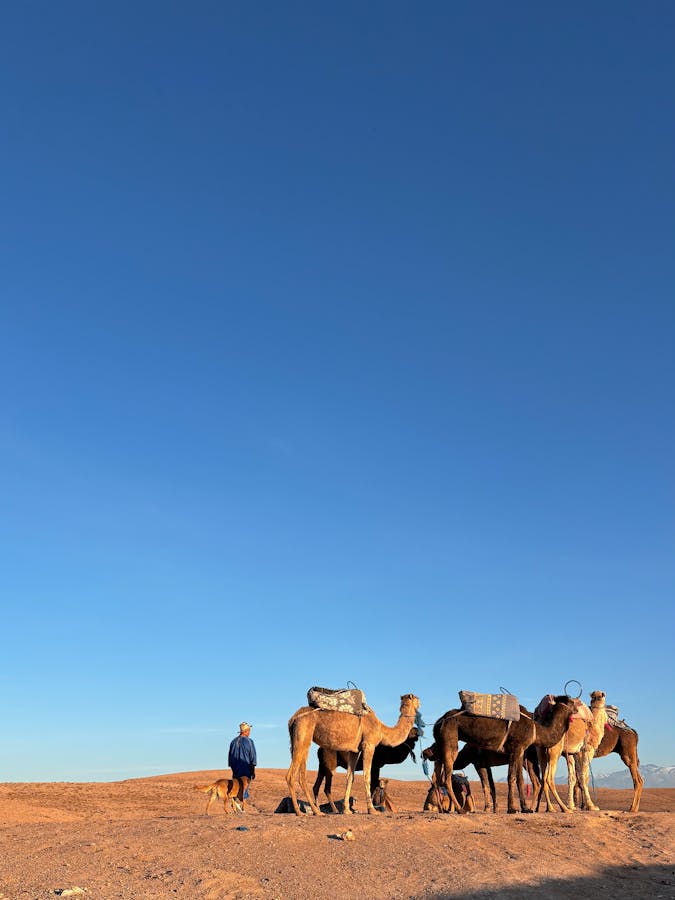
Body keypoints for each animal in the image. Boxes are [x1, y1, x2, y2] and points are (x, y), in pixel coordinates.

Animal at [286, 692, 420, 815]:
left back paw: (317, 811)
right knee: (292, 775)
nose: (420, 703)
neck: (382, 730)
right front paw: (372, 810)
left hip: (302, 741)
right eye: (417, 699)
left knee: (304, 777)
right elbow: (367, 777)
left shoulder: (355, 751)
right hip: (304, 734)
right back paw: (300, 812)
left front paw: (346, 809)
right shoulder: (369, 745)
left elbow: (350, 777)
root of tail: (293, 718)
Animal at [433, 694, 576, 814]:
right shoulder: (515, 748)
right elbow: (511, 778)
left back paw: (443, 809)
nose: (577, 711)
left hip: (441, 744)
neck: (536, 731)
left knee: (437, 776)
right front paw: (511, 808)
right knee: (446, 777)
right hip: (449, 740)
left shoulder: (519, 751)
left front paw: (525, 808)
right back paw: (459, 809)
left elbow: (519, 779)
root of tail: (438, 722)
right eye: (572, 702)